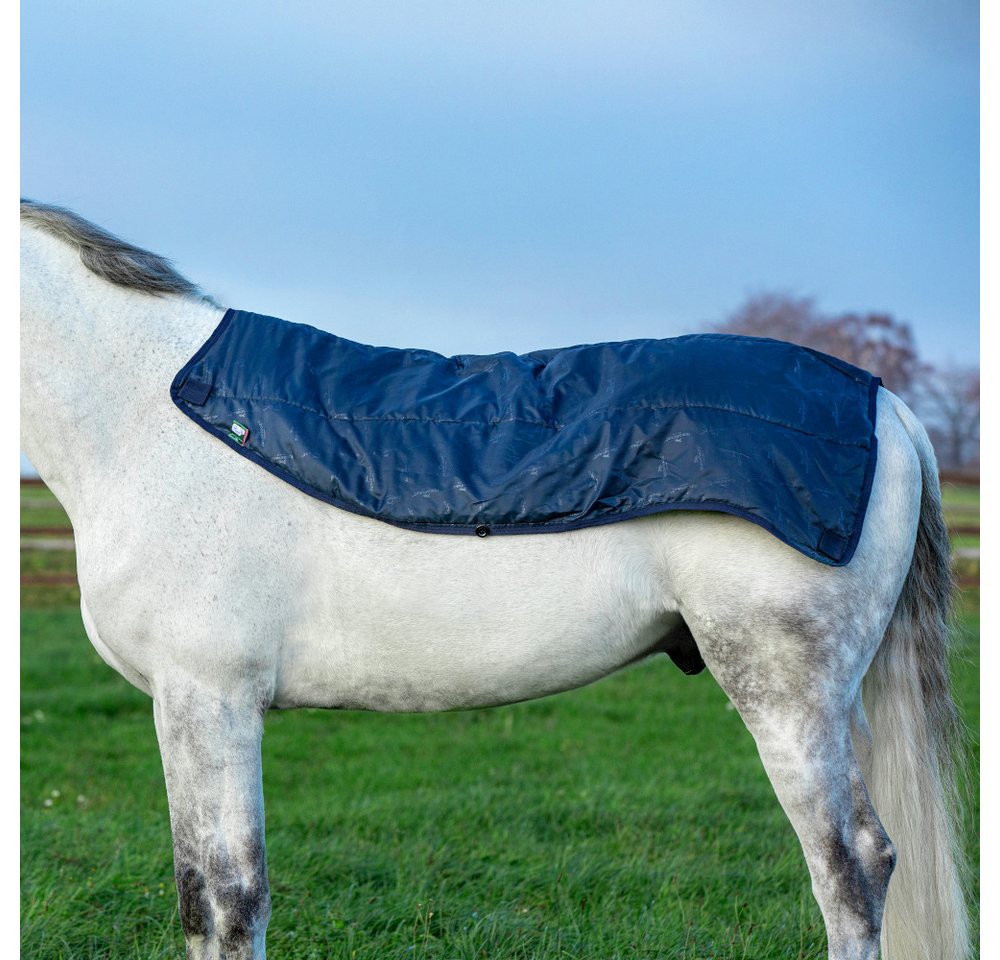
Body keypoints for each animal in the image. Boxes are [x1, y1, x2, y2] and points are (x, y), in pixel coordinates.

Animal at [20, 199, 970, 960]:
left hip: (786, 693)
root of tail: (888, 405)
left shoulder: (207, 698)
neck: (143, 422)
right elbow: (209, 899)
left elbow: (225, 900)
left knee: (851, 866)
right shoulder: (198, 705)